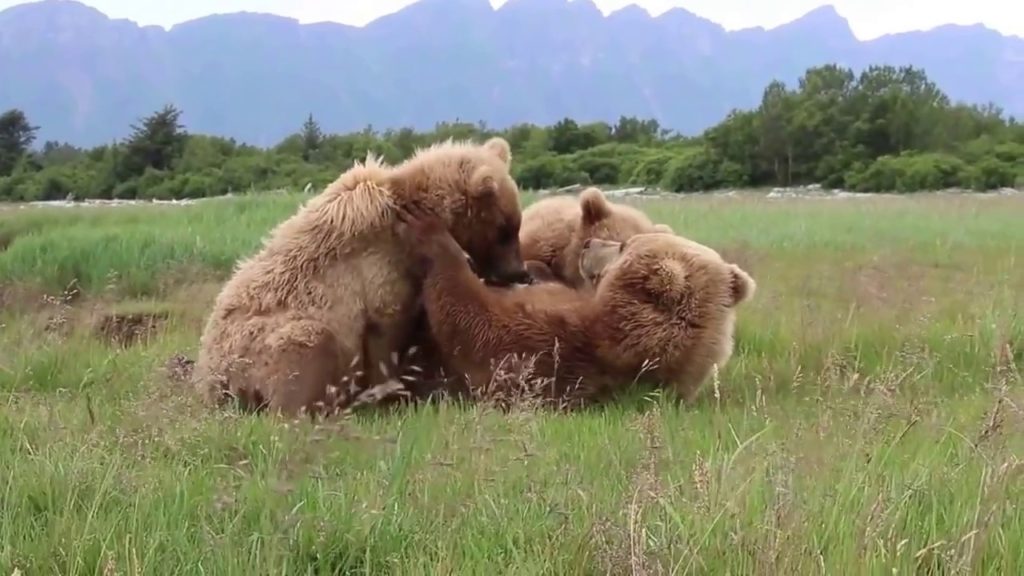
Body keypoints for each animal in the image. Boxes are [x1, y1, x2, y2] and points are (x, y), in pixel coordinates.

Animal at [192, 136, 531, 416]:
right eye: (505, 229)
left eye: (516, 224)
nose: (519, 272)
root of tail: (207, 379)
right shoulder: (379, 272)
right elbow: (385, 336)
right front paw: (393, 397)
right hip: (253, 350)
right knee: (307, 348)